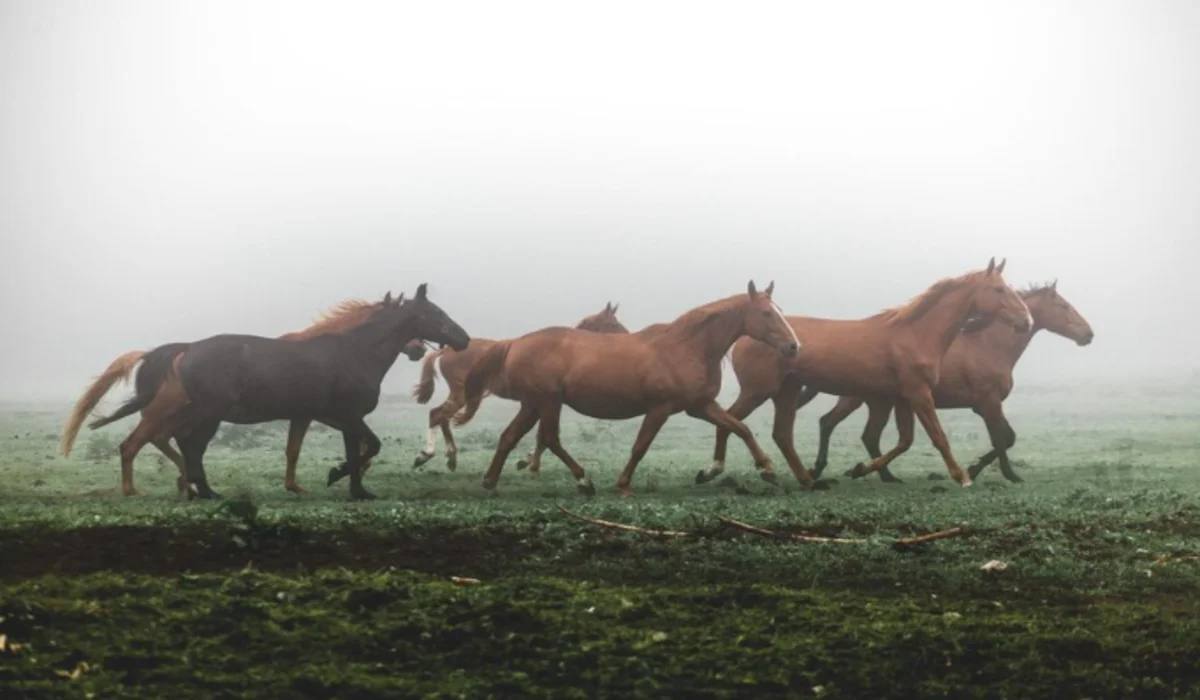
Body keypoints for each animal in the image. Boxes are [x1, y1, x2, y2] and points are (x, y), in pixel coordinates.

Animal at [410, 298, 628, 473]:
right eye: (613, 323)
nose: (627, 337)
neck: (561, 352)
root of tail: (445, 350)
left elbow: (541, 436)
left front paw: (529, 461)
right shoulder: (544, 402)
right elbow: (543, 436)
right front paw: (529, 462)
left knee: (441, 416)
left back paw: (450, 457)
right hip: (461, 393)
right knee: (438, 415)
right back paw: (427, 455)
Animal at [451, 280, 796, 499]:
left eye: (779, 309)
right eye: (767, 313)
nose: (793, 346)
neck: (687, 347)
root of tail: (515, 343)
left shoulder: (700, 406)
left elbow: (740, 428)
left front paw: (762, 469)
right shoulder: (660, 408)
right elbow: (640, 447)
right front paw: (623, 484)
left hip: (533, 404)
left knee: (510, 437)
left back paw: (490, 482)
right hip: (547, 402)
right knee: (549, 439)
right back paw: (584, 480)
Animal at [705, 256, 1036, 487]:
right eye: (998, 289)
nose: (1026, 320)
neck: (916, 334)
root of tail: (744, 336)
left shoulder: (901, 398)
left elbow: (904, 441)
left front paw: (861, 468)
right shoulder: (919, 394)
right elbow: (938, 437)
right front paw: (962, 476)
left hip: (787, 391)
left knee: (780, 434)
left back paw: (803, 478)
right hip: (758, 391)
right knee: (730, 420)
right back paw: (716, 470)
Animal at [811, 279, 1094, 482]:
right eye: (1064, 306)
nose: (1088, 334)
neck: (988, 345)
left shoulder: (982, 405)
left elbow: (1008, 437)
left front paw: (975, 468)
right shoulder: (988, 402)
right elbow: (1000, 439)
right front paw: (1010, 475)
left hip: (876, 402)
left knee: (854, 431)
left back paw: (877, 475)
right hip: (861, 399)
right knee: (837, 426)